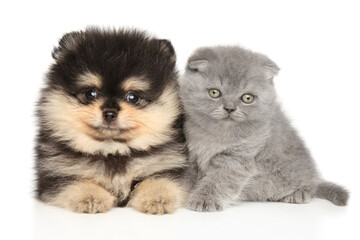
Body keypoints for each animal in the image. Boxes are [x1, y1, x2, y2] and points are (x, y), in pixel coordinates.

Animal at [35, 27, 190, 214]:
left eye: (133, 97)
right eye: (90, 94)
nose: (109, 113)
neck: (112, 150)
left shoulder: (167, 165)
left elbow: (160, 179)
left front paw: (157, 198)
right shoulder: (56, 172)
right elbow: (75, 181)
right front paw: (91, 196)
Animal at [180, 46, 348, 211]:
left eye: (247, 98)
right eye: (214, 92)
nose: (229, 108)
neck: (217, 134)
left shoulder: (239, 157)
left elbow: (219, 178)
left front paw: (203, 200)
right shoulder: (190, 154)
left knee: (310, 186)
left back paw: (298, 194)